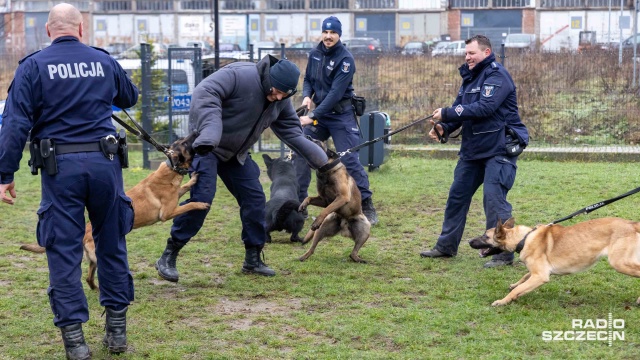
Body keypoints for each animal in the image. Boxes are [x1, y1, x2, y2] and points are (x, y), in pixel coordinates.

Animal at [19, 132, 210, 290]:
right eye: (185, 143)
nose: (196, 132)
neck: (171, 168)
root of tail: (85, 231)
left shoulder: (175, 197)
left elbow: (184, 187)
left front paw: (193, 179)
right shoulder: (168, 213)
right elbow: (188, 205)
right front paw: (201, 204)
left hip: (93, 261)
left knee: (88, 279)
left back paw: (97, 291)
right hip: (99, 256)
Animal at [468, 217, 640, 306]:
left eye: (485, 236)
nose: (469, 241)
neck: (524, 238)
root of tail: (632, 224)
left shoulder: (540, 276)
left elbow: (518, 289)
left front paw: (503, 301)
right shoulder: (538, 272)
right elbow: (524, 277)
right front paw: (515, 285)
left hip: (619, 263)